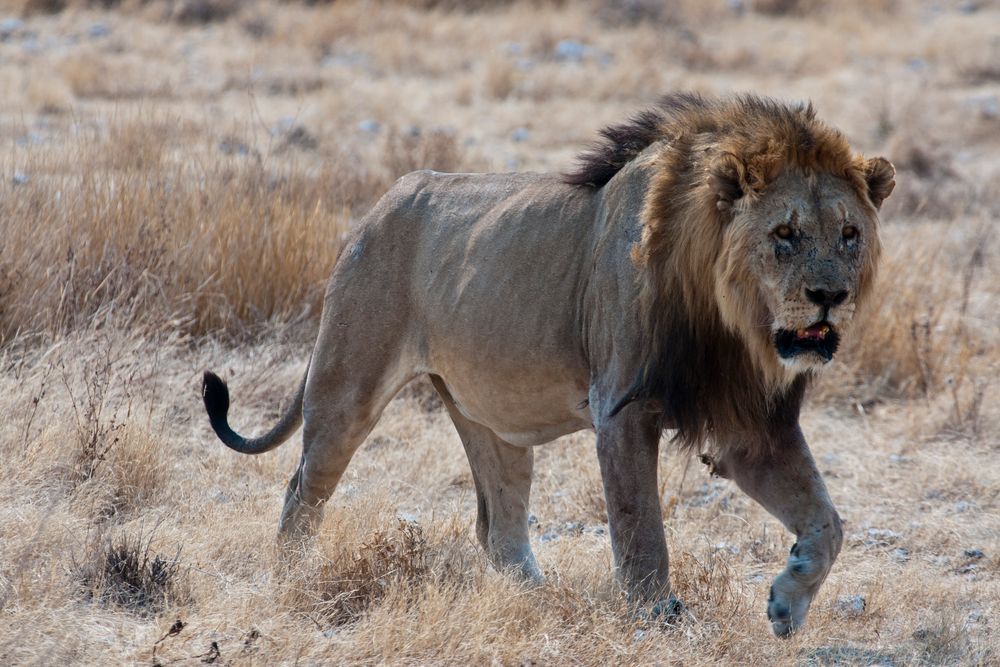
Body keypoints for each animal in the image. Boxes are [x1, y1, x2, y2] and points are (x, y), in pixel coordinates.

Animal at [201, 94, 892, 636]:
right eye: (784, 234)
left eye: (849, 234)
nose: (829, 295)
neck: (730, 323)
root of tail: (376, 206)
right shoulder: (621, 410)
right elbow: (640, 530)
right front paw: (655, 620)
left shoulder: (753, 427)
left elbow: (827, 522)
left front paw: (787, 602)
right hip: (346, 384)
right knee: (302, 489)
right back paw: (291, 582)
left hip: (490, 420)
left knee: (500, 529)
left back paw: (545, 600)